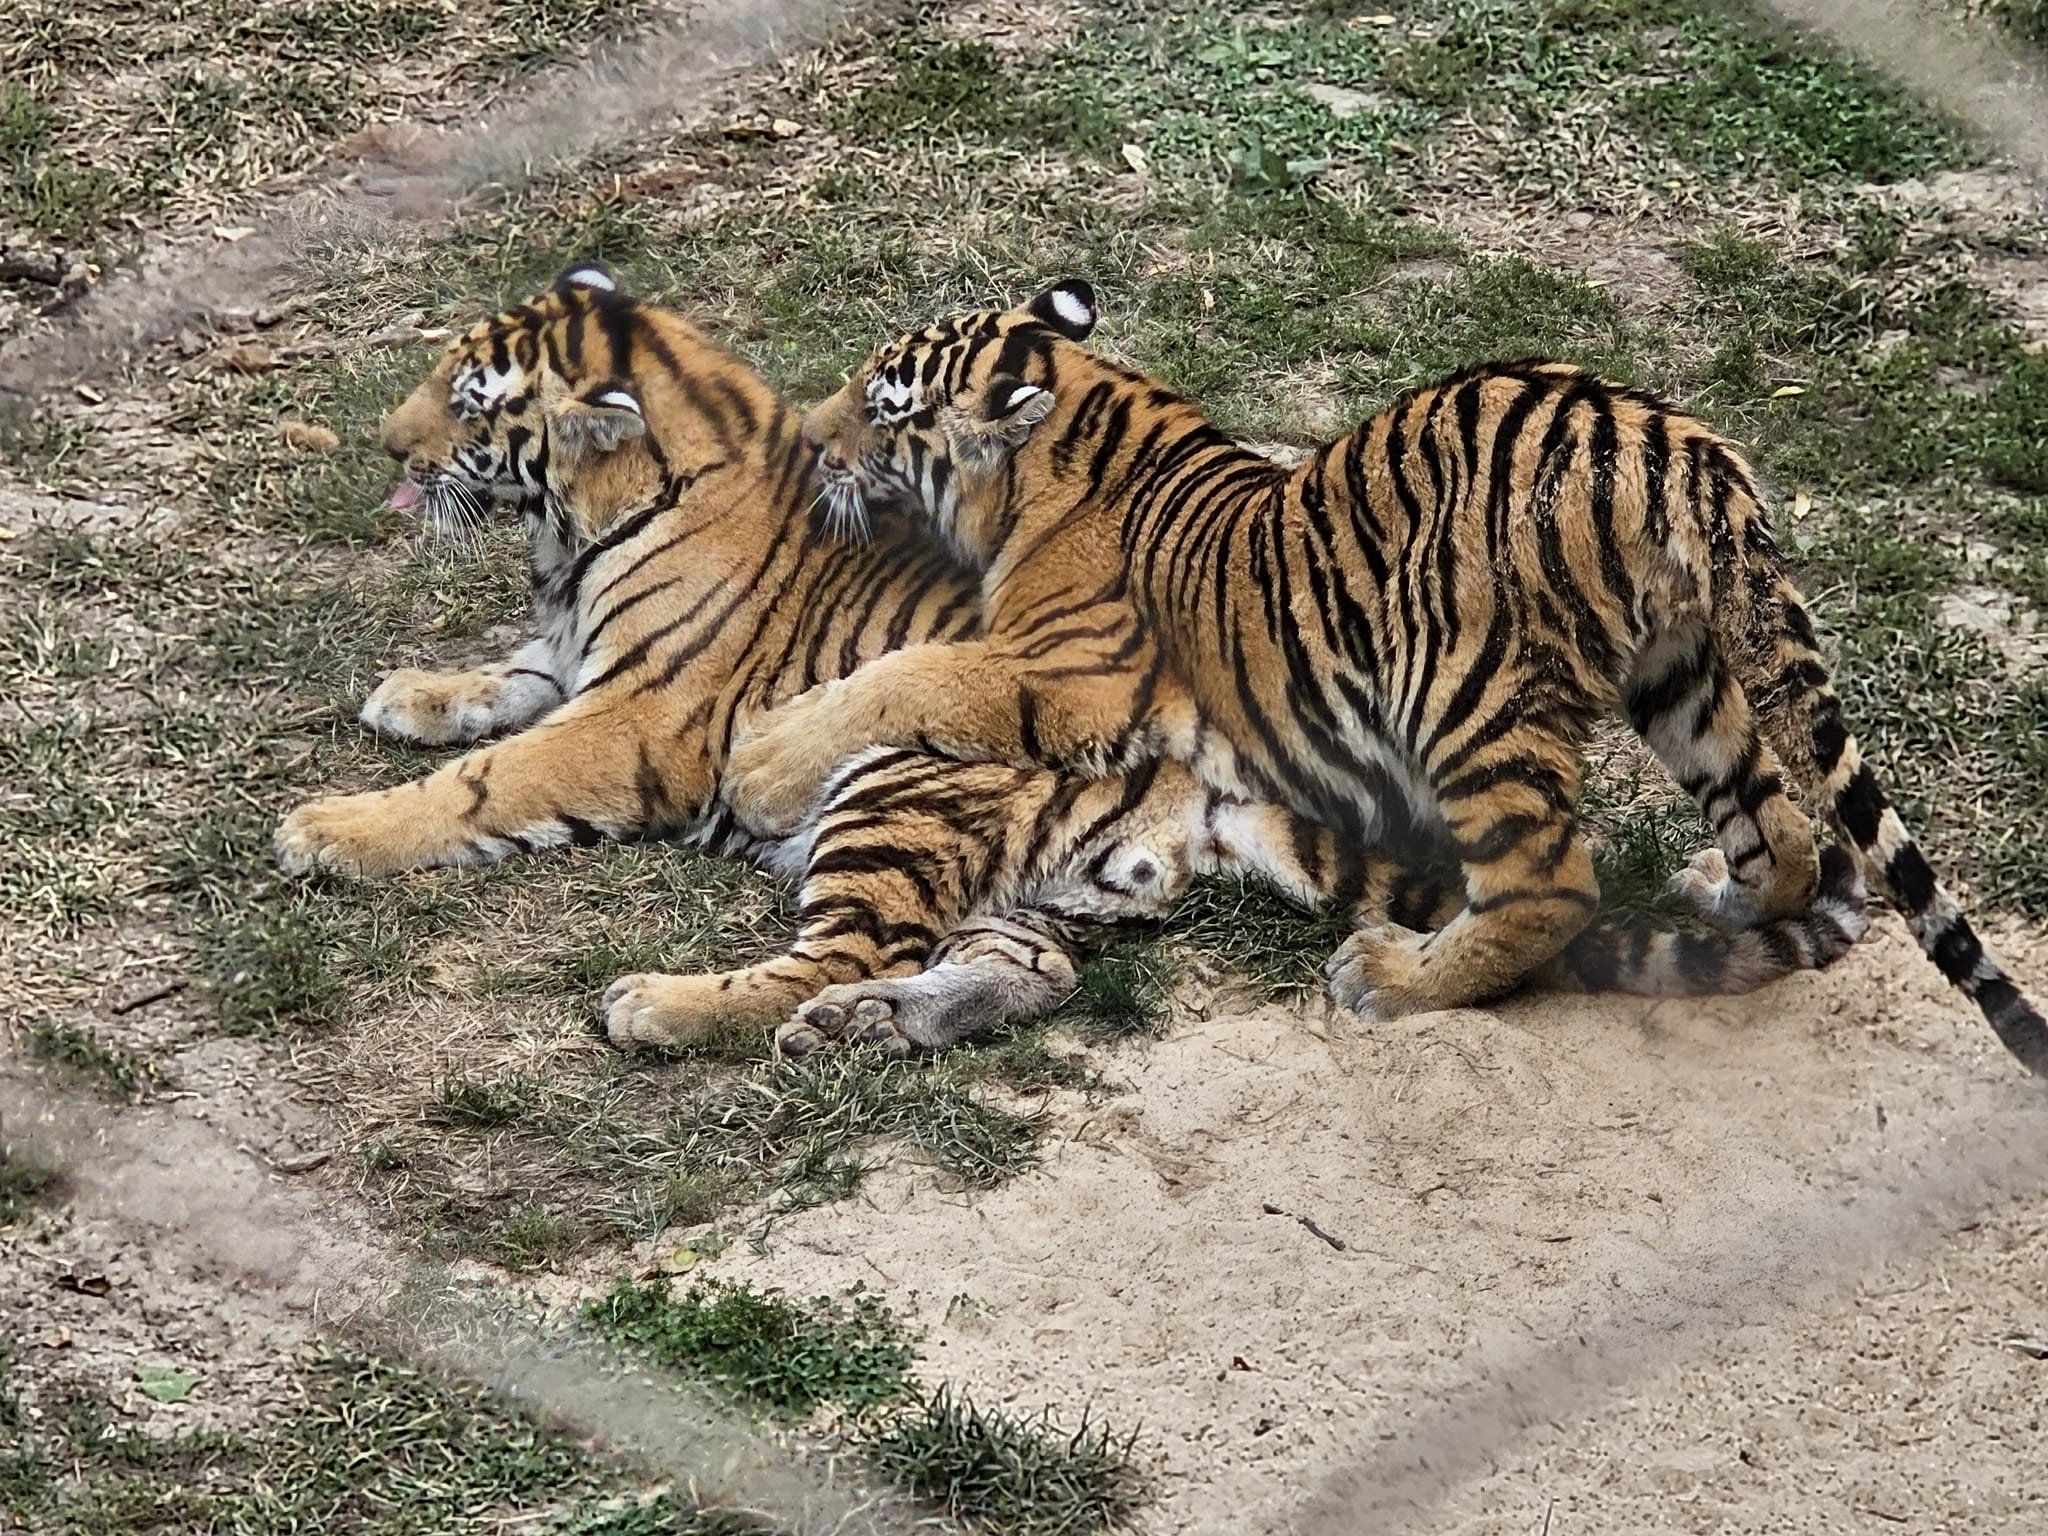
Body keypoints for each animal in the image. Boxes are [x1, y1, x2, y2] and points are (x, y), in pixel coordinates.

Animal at [272, 264, 1875, 1056]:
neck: (583, 524)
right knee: (1007, 971)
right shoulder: (579, 660)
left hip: (897, 789)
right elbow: (500, 682)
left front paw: (329, 828)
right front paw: (408, 692)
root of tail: (1205, 802)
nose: (385, 447)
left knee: (836, 949)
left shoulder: (644, 721)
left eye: (471, 399)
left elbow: (492, 781)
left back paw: (675, 1008)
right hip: (1025, 875)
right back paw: (862, 1031)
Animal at [724, 282, 2048, 1073]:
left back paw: (1394, 979)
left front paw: (761, 764)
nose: (808, 440)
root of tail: (1673, 444)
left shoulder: (1070, 677)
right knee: (1776, 823)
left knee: (1550, 885)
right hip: (1678, 672)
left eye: (885, 403)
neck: (1070, 443)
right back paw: (1719, 894)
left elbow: (907, 674)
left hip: (1459, 689)